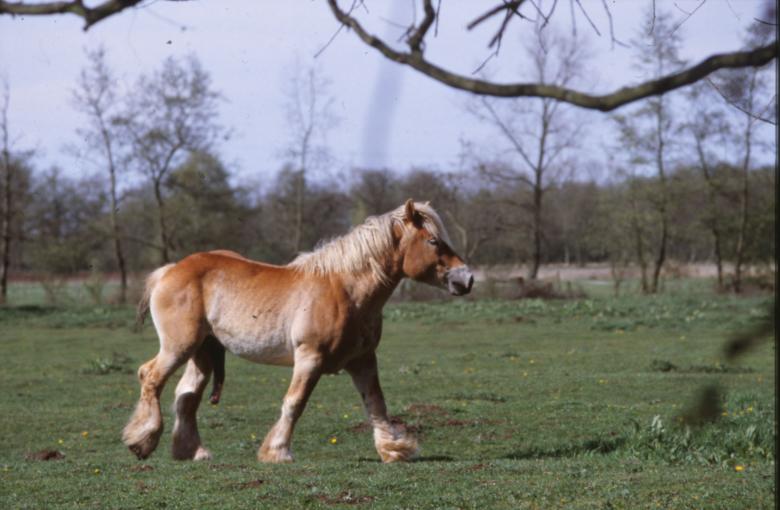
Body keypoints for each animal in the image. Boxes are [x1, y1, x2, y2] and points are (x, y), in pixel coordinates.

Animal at [123, 199, 474, 463]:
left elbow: (376, 403)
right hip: (178, 347)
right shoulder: (310, 358)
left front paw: (393, 449)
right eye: (433, 241)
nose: (466, 278)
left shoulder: (362, 360)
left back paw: (192, 451)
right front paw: (277, 451)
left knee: (186, 395)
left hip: (204, 352)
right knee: (150, 377)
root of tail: (170, 270)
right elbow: (295, 402)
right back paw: (142, 441)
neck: (345, 289)